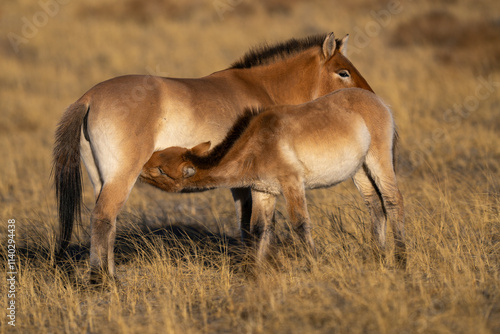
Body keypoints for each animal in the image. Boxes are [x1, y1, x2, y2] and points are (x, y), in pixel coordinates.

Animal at [52, 32, 374, 282]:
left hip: (101, 179)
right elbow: (254, 223)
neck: (260, 87)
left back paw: (110, 274)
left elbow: (250, 223)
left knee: (107, 223)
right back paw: (102, 281)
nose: (370, 98)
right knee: (104, 217)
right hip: (122, 177)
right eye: (343, 72)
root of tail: (89, 97)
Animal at [141, 87, 406, 268]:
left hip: (378, 161)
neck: (257, 144)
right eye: (159, 153)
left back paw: (401, 256)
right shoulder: (263, 192)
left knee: (393, 201)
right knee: (375, 205)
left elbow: (300, 224)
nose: (141, 166)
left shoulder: (292, 185)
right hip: (360, 171)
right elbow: (259, 228)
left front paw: (314, 263)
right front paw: (256, 271)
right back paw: (379, 254)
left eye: (161, 169)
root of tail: (377, 100)